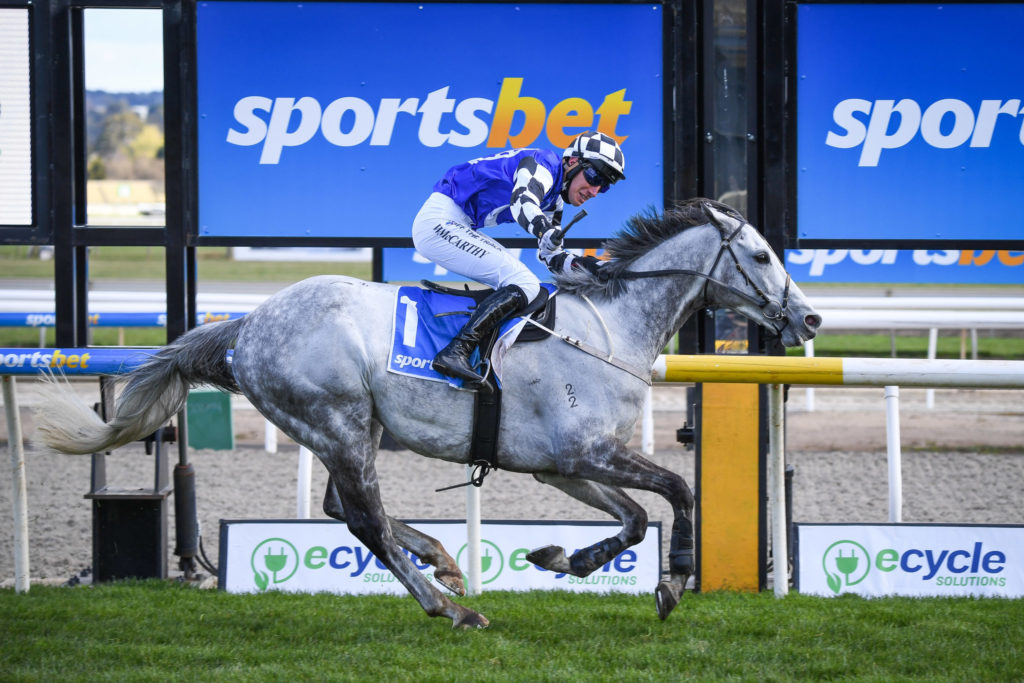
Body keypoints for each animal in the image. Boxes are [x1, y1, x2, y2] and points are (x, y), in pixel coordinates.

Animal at [35, 198, 821, 628]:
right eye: (759, 254)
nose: (810, 316)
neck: (608, 327)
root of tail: (247, 324)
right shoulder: (585, 453)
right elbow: (679, 491)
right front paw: (675, 579)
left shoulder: (562, 465)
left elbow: (631, 519)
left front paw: (563, 557)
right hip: (338, 420)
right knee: (365, 522)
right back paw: (451, 605)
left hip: (346, 428)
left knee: (347, 510)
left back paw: (442, 561)